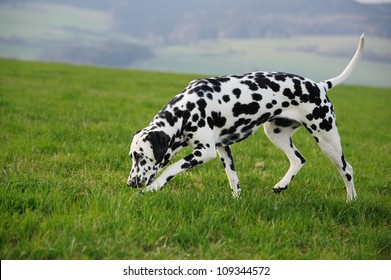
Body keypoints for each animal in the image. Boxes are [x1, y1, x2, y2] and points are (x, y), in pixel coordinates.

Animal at [128, 34, 364, 201]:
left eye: (141, 157)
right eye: (132, 156)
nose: (130, 183)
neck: (187, 110)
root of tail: (320, 85)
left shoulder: (205, 151)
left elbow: (172, 168)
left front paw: (154, 187)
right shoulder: (223, 148)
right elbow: (233, 179)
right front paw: (236, 200)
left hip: (327, 139)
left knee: (347, 169)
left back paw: (351, 200)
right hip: (276, 133)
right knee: (299, 159)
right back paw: (281, 185)